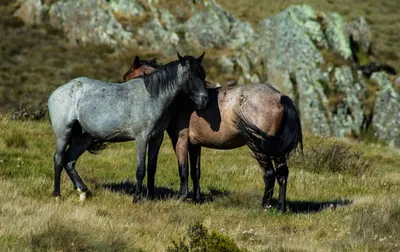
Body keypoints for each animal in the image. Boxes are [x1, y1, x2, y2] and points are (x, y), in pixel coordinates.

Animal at [47, 52, 209, 202]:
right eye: (190, 75)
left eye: (203, 75)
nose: (204, 101)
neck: (152, 97)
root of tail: (57, 92)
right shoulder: (141, 138)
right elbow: (140, 169)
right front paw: (137, 198)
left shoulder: (156, 138)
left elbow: (152, 168)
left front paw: (151, 197)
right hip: (63, 133)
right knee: (59, 159)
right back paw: (57, 195)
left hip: (84, 138)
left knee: (69, 161)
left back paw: (83, 192)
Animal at [123, 56, 302, 212]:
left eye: (128, 77)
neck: (182, 99)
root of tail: (280, 97)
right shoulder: (195, 145)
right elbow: (195, 172)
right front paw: (196, 198)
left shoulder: (180, 141)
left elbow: (183, 170)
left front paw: (182, 197)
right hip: (277, 149)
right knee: (282, 174)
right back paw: (281, 207)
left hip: (260, 148)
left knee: (269, 174)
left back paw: (265, 205)